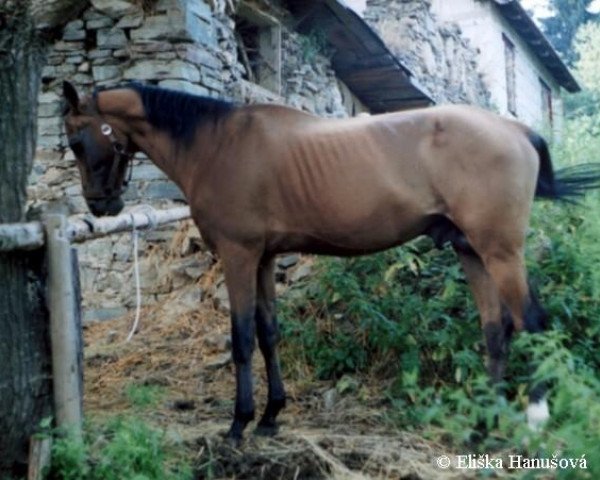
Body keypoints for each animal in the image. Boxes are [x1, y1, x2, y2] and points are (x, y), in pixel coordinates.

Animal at [62, 79, 600, 442]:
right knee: (496, 330)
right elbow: (268, 333)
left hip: (500, 252)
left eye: (78, 140)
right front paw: (271, 416)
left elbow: (241, 338)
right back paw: (481, 426)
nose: (100, 205)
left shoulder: (238, 256)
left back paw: (533, 419)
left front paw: (239, 423)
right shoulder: (263, 259)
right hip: (472, 251)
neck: (217, 144)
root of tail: (515, 128)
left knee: (532, 323)